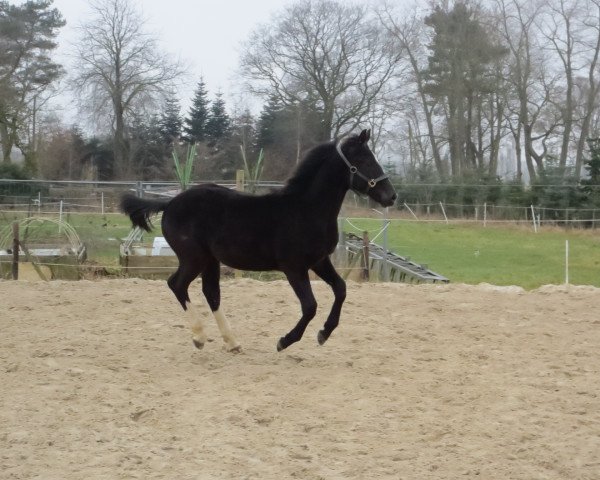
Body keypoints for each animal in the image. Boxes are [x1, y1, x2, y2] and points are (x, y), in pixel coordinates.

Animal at [120, 129, 396, 350]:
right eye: (363, 159)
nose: (391, 196)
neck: (306, 209)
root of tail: (170, 203)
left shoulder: (319, 261)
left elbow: (341, 289)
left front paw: (324, 334)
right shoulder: (294, 267)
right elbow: (310, 306)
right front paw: (285, 341)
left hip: (210, 260)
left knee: (211, 293)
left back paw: (232, 342)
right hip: (193, 257)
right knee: (177, 284)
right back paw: (199, 337)